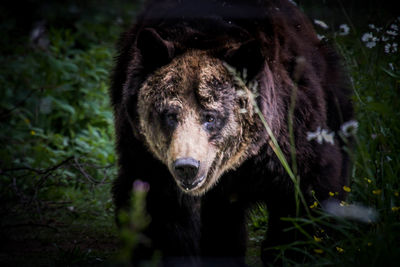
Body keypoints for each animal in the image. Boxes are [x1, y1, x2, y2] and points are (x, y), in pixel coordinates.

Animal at [108, 0, 354, 266]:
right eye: (170, 115)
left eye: (210, 116)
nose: (187, 166)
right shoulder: (146, 155)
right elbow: (160, 217)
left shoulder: (288, 139)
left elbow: (303, 203)